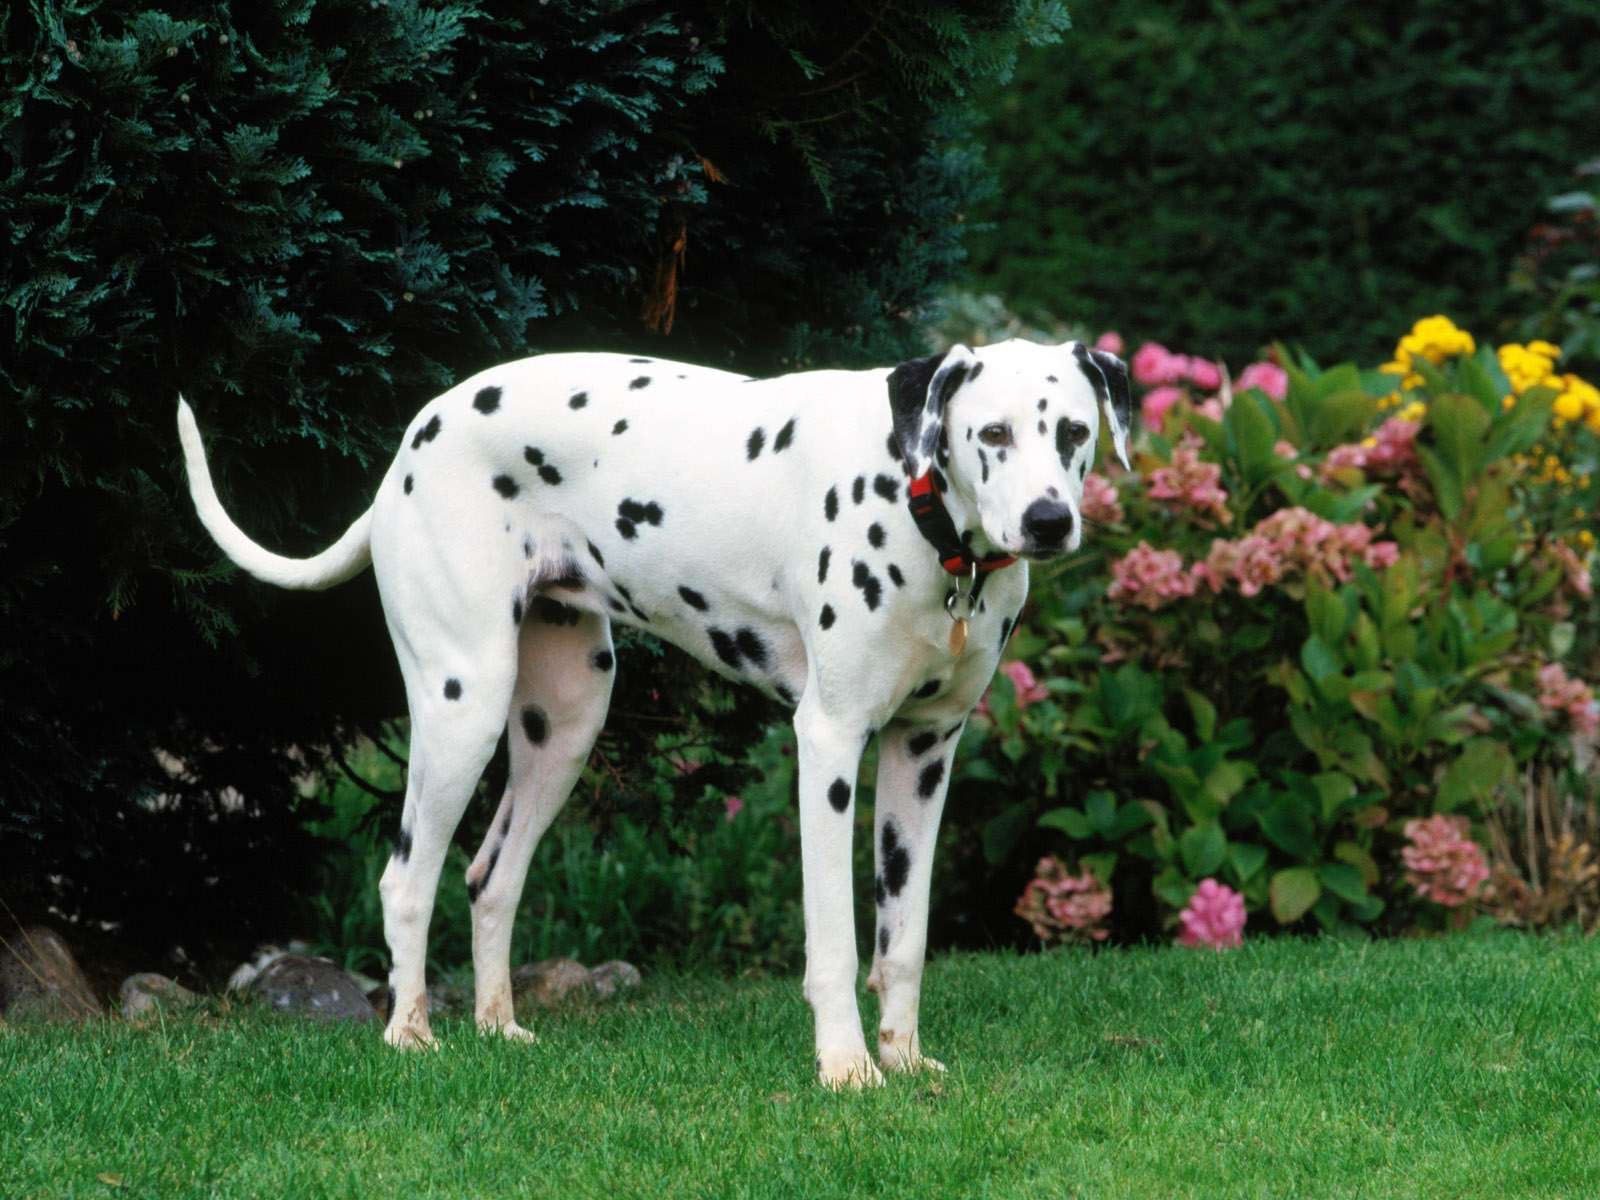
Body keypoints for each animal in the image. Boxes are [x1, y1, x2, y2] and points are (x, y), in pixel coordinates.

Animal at [177, 337, 1131, 1087]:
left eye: (1073, 433)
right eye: (992, 433)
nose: (1048, 520)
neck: (916, 498)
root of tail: (415, 438)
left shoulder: (924, 755)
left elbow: (905, 934)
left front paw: (902, 1058)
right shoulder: (829, 745)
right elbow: (835, 940)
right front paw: (846, 1068)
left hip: (564, 726)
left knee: (491, 876)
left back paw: (498, 1025)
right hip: (462, 707)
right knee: (407, 878)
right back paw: (409, 1035)